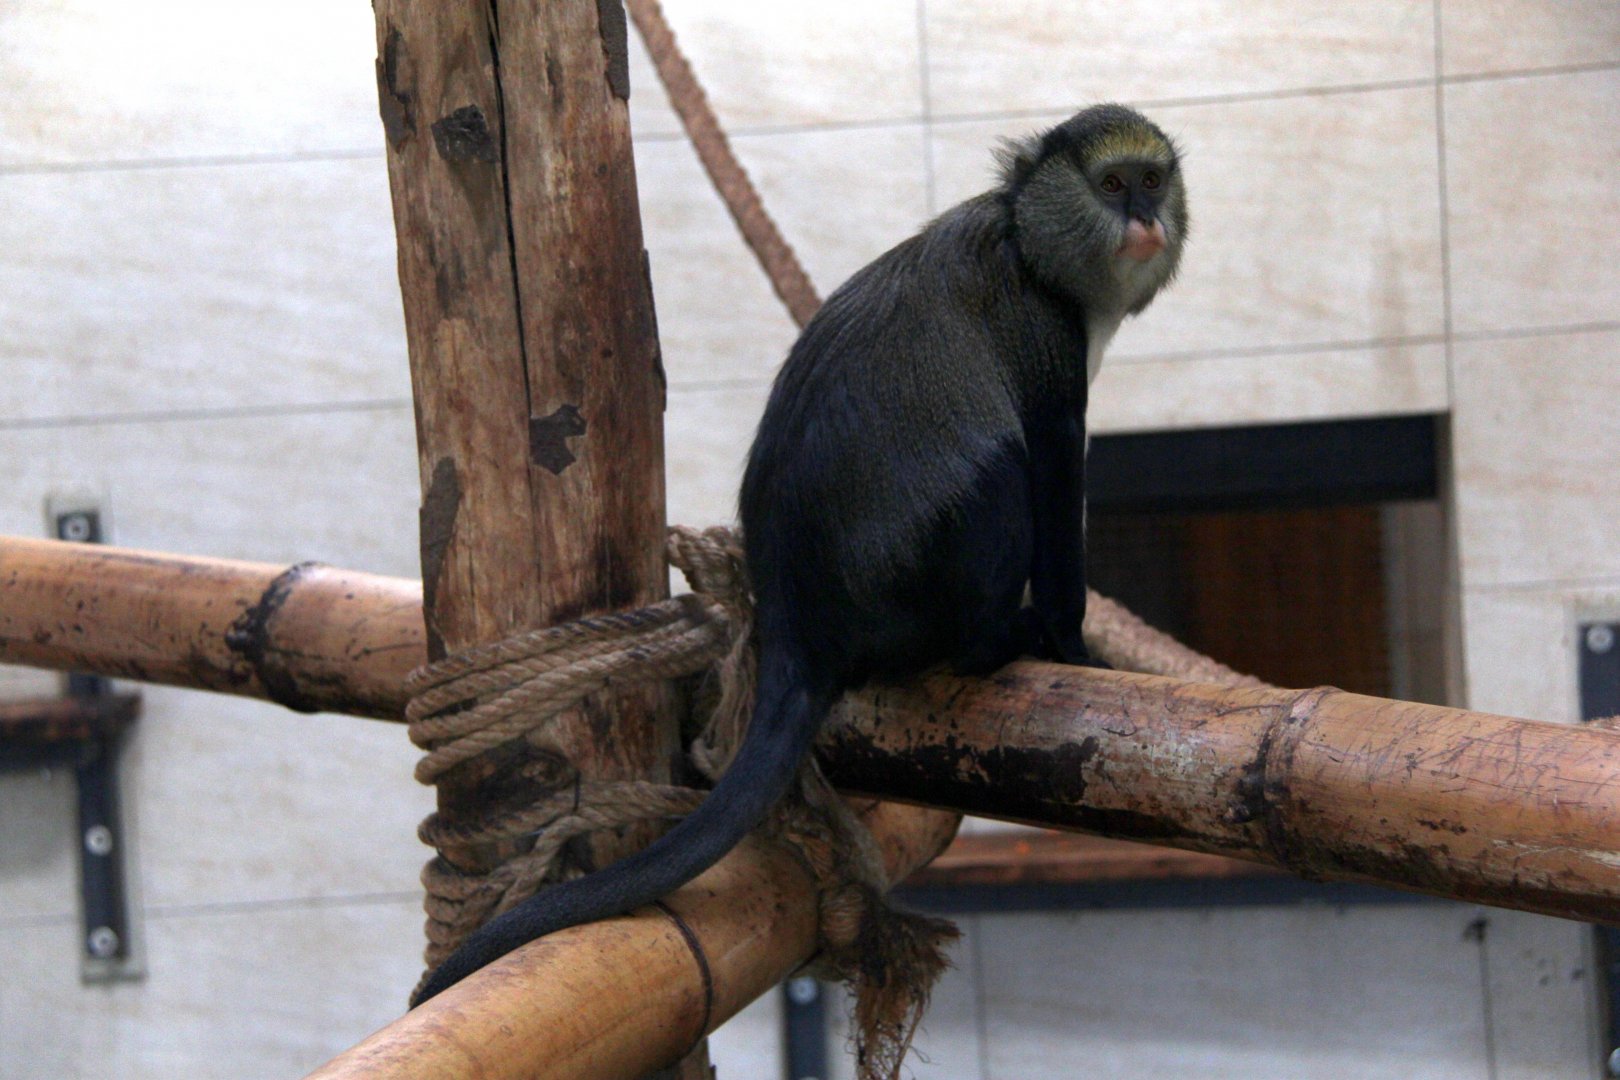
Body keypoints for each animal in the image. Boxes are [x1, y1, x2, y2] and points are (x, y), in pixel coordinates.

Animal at [411, 103, 1187, 1006]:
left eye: (1152, 179)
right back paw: (996, 641)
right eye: (1111, 184)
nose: (1145, 218)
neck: (1026, 237)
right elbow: (1054, 464)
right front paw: (1073, 646)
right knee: (1000, 469)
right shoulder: (1047, 347)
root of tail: (800, 624)